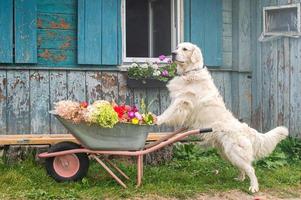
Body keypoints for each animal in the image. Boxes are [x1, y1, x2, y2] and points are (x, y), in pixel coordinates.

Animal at [156, 41, 288, 192]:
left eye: (185, 49)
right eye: (177, 47)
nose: (172, 53)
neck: (191, 71)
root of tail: (245, 128)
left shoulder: (182, 101)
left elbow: (168, 112)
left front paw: (157, 119)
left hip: (234, 152)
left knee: (251, 169)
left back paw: (253, 187)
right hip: (226, 153)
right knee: (243, 168)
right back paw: (240, 178)